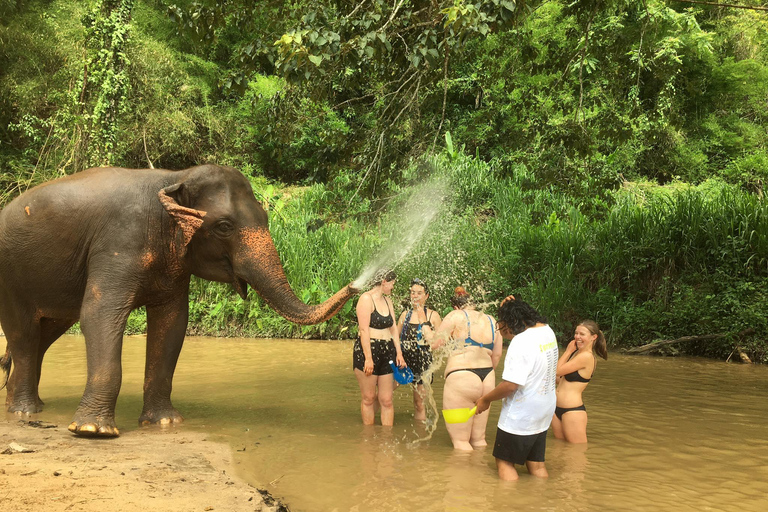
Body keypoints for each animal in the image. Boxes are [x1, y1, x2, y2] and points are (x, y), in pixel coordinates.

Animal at [0, 164, 358, 436]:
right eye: (224, 226)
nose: (356, 286)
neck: (174, 176)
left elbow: (172, 323)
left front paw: (164, 422)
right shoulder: (118, 243)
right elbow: (99, 314)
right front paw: (93, 431)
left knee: (45, 334)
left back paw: (26, 405)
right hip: (10, 277)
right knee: (24, 333)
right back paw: (24, 411)